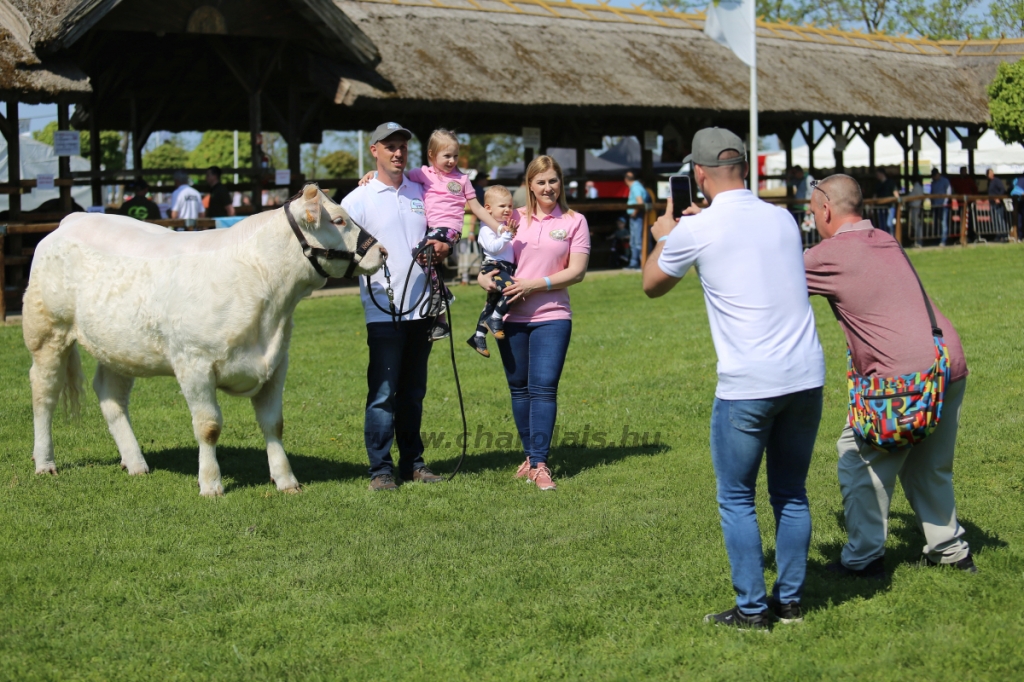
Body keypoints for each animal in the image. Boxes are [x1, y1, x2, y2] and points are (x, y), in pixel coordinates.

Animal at [23, 186, 385, 493]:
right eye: (338, 220)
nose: (382, 251)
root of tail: (73, 219)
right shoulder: (194, 364)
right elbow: (208, 426)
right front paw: (211, 483)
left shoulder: (277, 362)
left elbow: (274, 424)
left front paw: (286, 480)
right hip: (47, 333)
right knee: (44, 394)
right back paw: (45, 462)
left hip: (120, 347)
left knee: (111, 396)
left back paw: (135, 462)